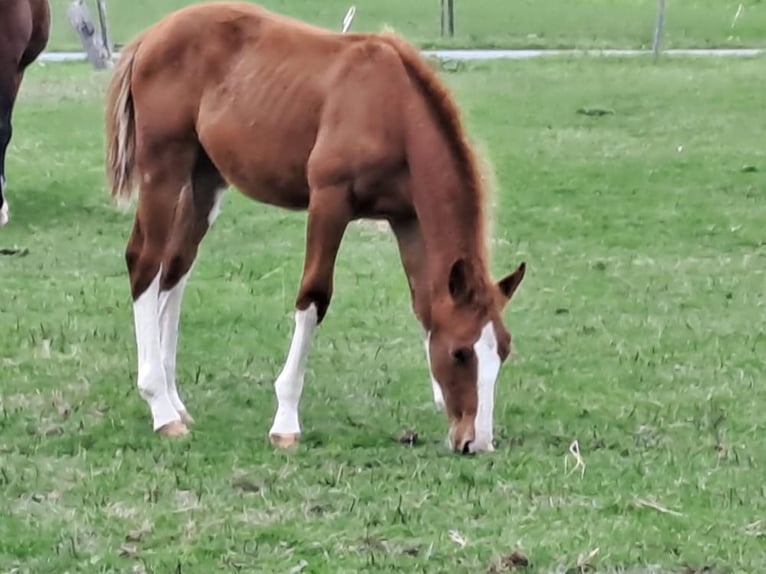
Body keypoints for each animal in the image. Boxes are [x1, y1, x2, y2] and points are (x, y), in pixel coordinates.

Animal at [104, 1, 527, 455]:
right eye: (461, 353)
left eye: (503, 350)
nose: (476, 442)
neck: (390, 107)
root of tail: (150, 37)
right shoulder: (329, 202)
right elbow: (314, 297)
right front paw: (285, 421)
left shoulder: (407, 219)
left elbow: (424, 302)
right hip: (162, 169)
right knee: (145, 262)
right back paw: (160, 408)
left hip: (204, 178)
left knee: (175, 269)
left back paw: (175, 400)